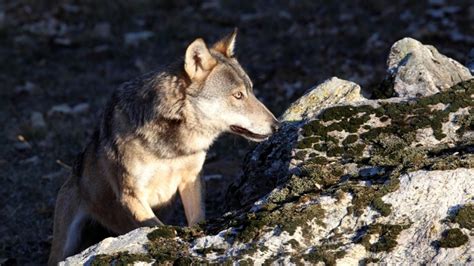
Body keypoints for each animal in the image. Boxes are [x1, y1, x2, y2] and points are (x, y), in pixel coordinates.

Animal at [48, 30, 278, 264]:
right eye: (238, 95)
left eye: (251, 91)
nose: (276, 125)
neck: (171, 149)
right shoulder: (131, 195)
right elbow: (158, 227)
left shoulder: (191, 179)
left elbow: (196, 219)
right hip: (64, 244)